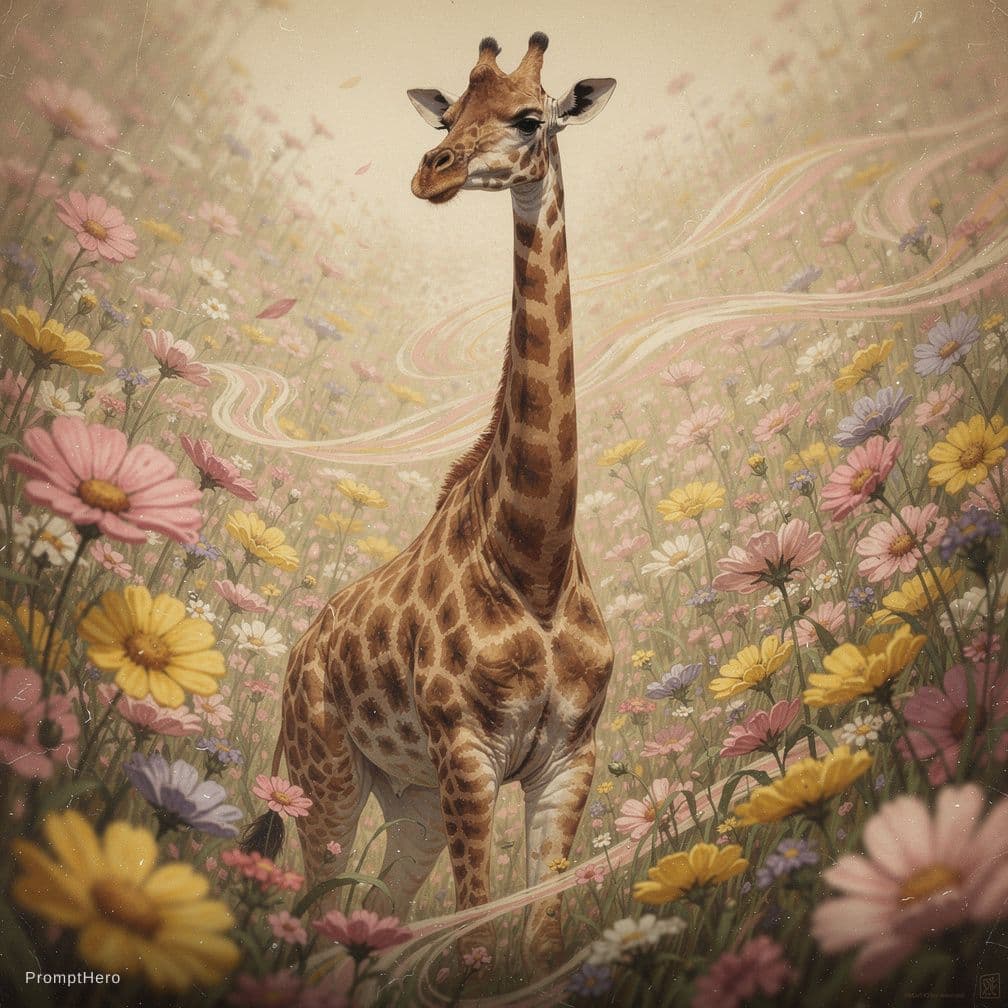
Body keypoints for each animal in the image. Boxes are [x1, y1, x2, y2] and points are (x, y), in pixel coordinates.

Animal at [243, 33, 617, 964]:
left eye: (532, 118)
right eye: (448, 119)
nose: (431, 172)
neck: (536, 560)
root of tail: (295, 655)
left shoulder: (569, 758)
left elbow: (541, 939)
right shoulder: (467, 752)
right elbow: (476, 940)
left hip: (404, 798)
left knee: (368, 917)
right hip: (329, 776)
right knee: (311, 915)